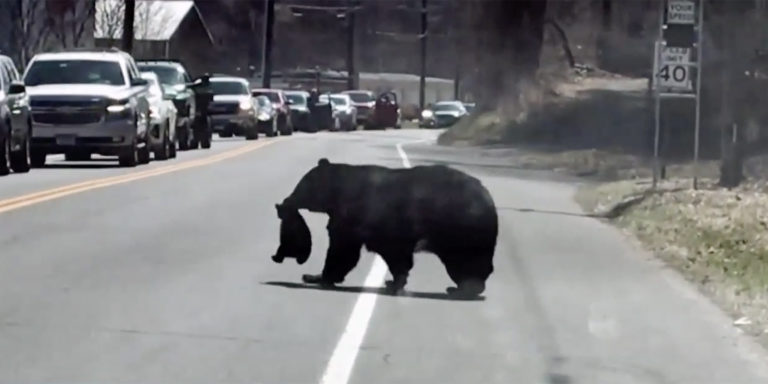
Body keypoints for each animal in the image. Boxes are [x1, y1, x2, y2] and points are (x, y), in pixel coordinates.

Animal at [276, 158, 498, 298]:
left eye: (300, 186)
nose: (285, 201)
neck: (339, 192)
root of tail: (489, 200)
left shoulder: (357, 217)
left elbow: (343, 250)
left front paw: (317, 276)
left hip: (461, 232)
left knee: (466, 263)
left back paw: (464, 288)